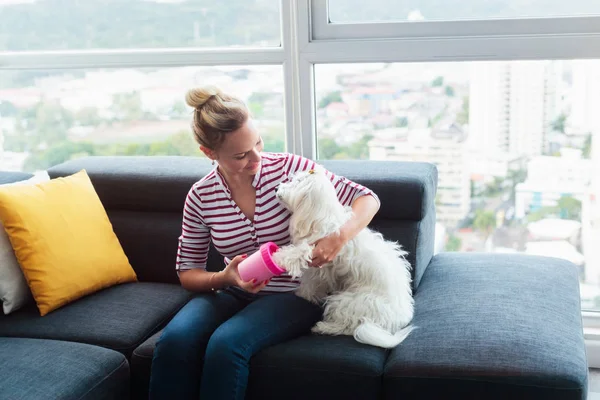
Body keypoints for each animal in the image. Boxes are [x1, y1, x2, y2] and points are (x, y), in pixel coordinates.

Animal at [274, 165, 414, 346]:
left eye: (297, 181)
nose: (277, 188)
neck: (321, 217)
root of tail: (395, 322)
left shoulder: (317, 262)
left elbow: (303, 266)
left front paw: (280, 259)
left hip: (348, 302)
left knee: (349, 326)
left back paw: (323, 327)